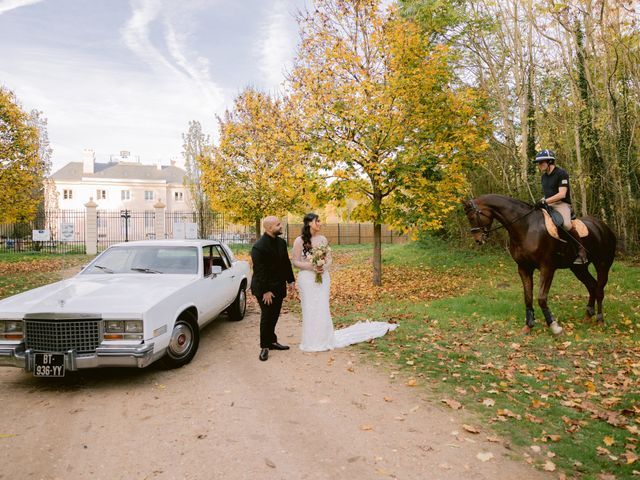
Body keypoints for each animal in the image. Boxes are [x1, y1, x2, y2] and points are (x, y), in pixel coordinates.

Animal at [464, 194, 616, 334]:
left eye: (471, 217)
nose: (478, 240)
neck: (526, 227)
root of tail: (603, 227)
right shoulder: (524, 268)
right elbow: (528, 297)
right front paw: (528, 325)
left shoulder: (547, 268)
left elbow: (541, 298)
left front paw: (554, 326)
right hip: (578, 268)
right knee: (592, 286)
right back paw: (587, 316)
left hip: (602, 264)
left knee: (599, 289)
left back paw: (600, 320)